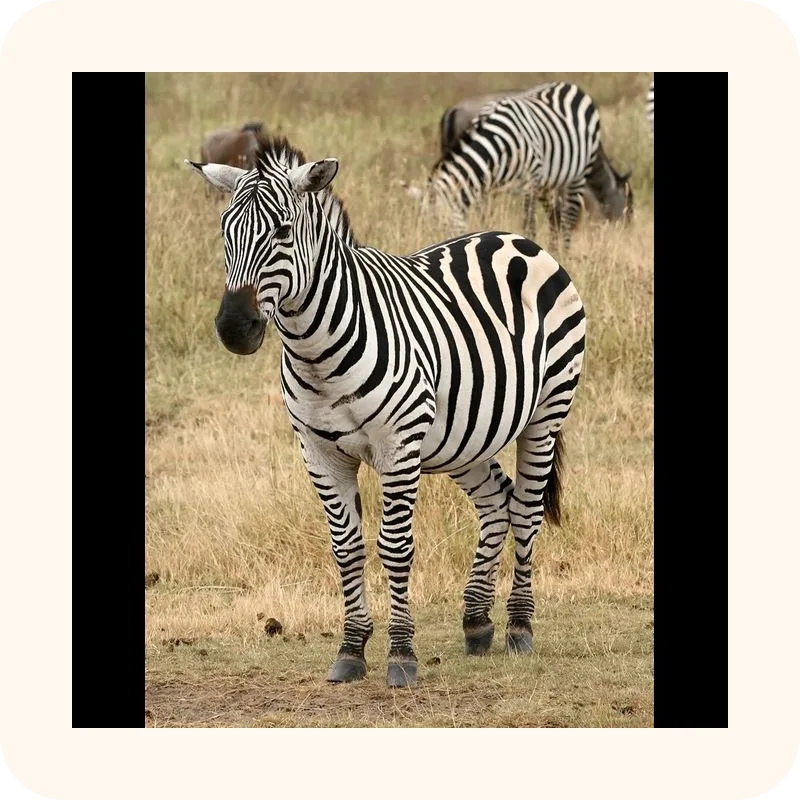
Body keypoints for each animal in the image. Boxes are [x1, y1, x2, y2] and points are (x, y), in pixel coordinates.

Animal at [184, 134, 586, 688]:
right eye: (226, 232)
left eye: (283, 231)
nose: (233, 328)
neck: (317, 352)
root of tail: (517, 239)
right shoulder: (319, 453)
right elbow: (346, 547)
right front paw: (352, 649)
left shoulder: (398, 444)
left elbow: (394, 546)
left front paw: (400, 654)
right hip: (463, 436)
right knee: (496, 501)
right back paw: (477, 621)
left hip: (547, 411)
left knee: (525, 509)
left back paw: (520, 627)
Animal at [417, 81, 632, 249]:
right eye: (630, 206)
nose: (625, 231)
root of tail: (570, 86)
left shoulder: (533, 180)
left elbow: (535, 223)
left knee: (564, 217)